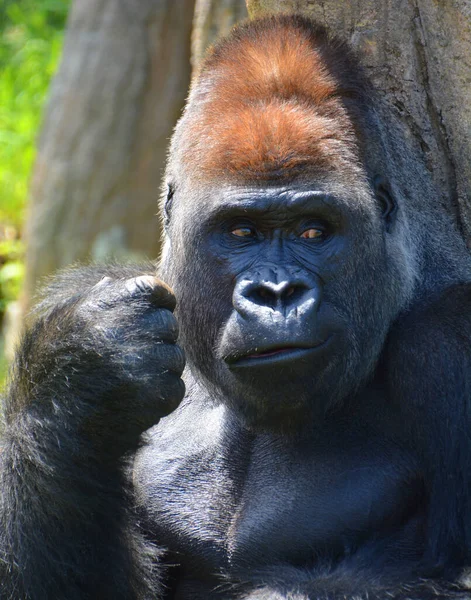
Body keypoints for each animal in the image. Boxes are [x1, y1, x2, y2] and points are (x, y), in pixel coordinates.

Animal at [0, 14, 471, 600]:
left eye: (313, 230)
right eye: (241, 231)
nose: (276, 293)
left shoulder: (449, 343)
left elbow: (452, 572)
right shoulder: (86, 288)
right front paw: (78, 375)